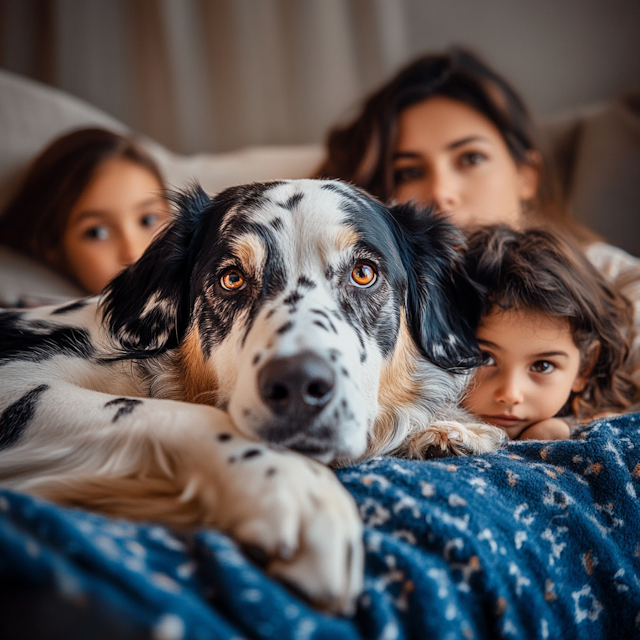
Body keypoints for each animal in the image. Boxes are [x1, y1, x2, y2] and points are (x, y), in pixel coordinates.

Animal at [0, 180, 502, 616]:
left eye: (364, 273)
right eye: (232, 279)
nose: (299, 386)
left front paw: (451, 430)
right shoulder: (20, 387)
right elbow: (172, 413)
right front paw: (297, 491)